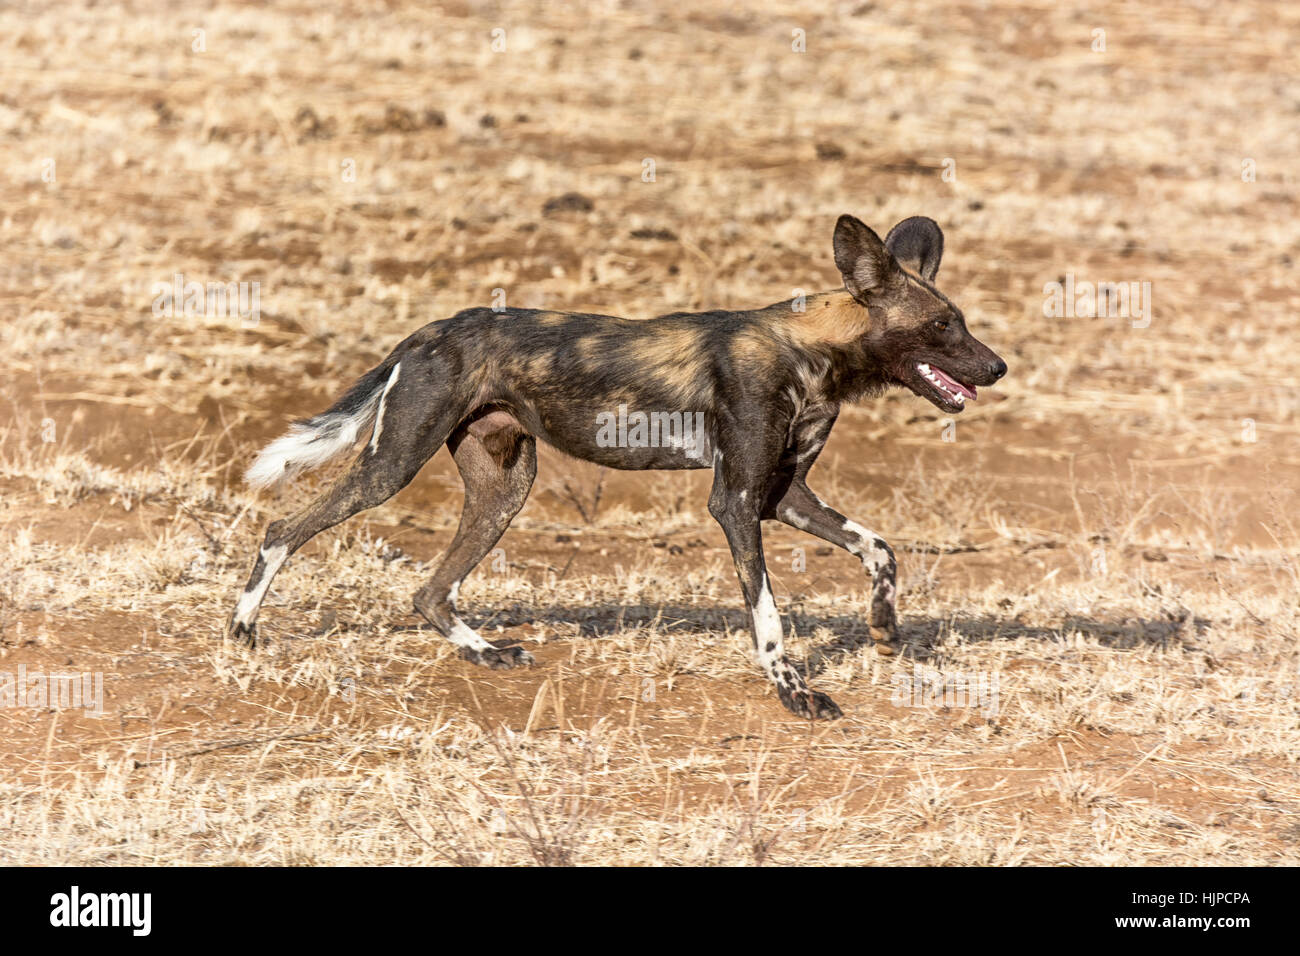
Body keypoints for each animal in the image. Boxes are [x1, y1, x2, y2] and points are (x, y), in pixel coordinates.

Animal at [228, 214, 1008, 717]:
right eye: (943, 325)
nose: (998, 366)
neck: (814, 353)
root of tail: (428, 330)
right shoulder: (738, 503)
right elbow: (768, 615)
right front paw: (793, 692)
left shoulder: (783, 497)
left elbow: (881, 549)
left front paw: (884, 628)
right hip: (391, 468)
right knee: (281, 528)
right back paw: (242, 632)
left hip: (504, 491)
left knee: (429, 591)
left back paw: (485, 653)